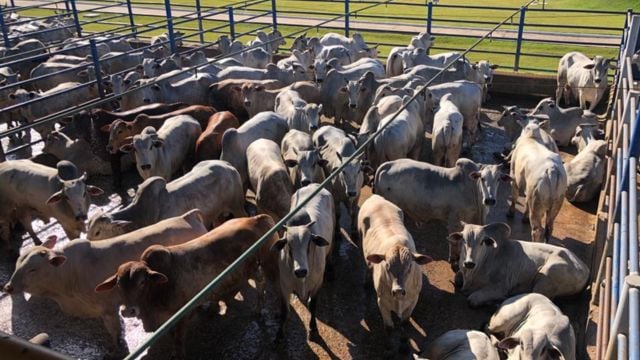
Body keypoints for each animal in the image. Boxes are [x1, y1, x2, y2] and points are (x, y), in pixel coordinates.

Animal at [95, 215, 280, 358]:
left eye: (142, 282)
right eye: (118, 284)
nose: (128, 311)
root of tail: (255, 219)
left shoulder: (182, 316)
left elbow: (178, 340)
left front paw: (179, 354)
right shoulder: (166, 320)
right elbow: (172, 337)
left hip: (256, 266)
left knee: (262, 282)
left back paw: (258, 309)